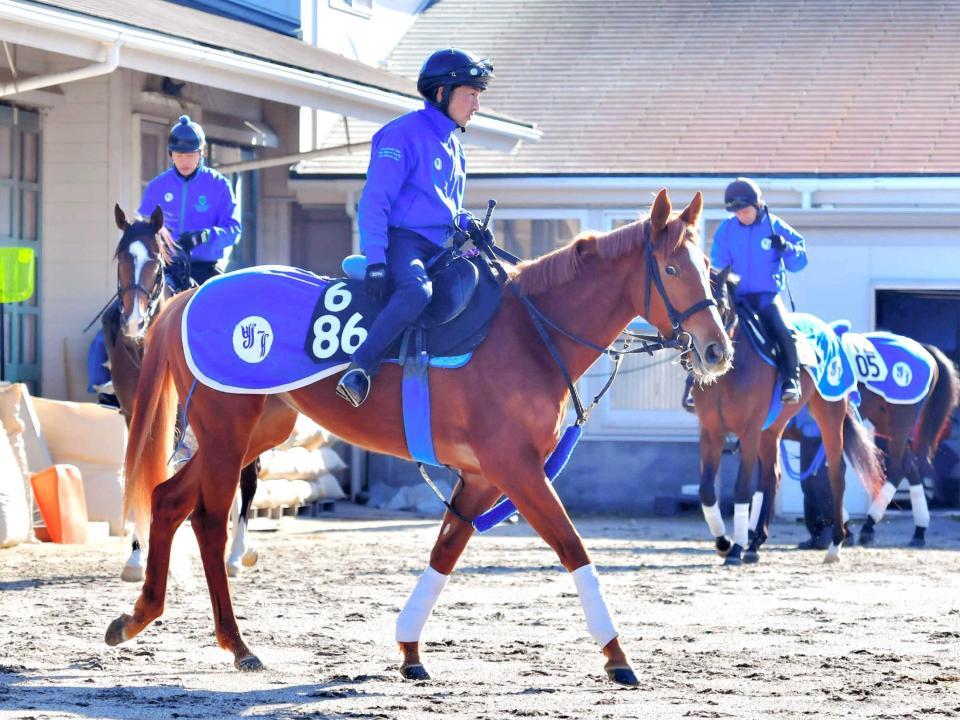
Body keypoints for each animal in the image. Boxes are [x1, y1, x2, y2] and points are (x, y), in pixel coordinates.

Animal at [106, 205, 258, 584]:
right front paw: (136, 556)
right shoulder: (133, 414)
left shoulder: (175, 420)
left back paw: (237, 554)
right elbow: (136, 469)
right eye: (121, 258)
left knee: (248, 476)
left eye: (156, 261)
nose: (133, 322)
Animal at [688, 268, 884, 564]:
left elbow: (742, 489)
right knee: (773, 476)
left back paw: (835, 545)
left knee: (836, 474)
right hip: (772, 431)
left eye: (721, 305)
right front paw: (724, 541)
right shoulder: (711, 431)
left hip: (829, 417)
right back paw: (756, 543)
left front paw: (735, 548)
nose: (715, 354)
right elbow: (707, 491)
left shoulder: (749, 432)